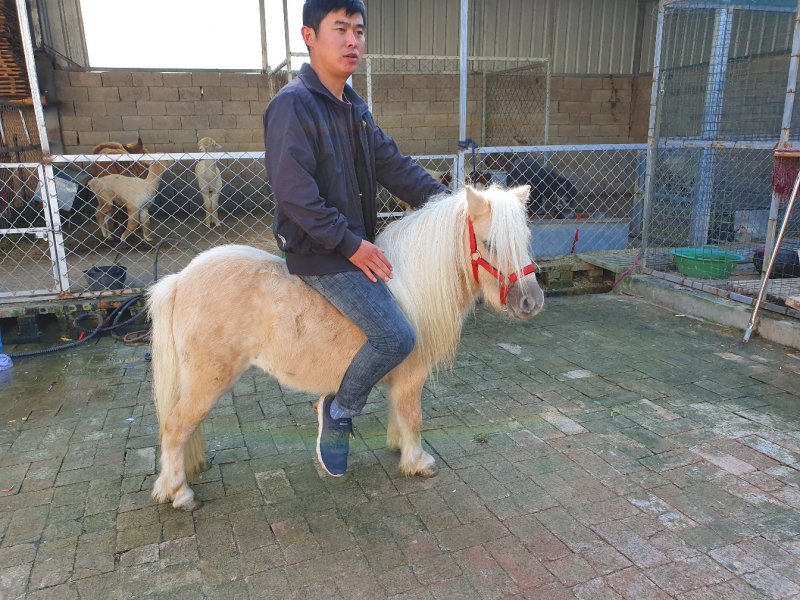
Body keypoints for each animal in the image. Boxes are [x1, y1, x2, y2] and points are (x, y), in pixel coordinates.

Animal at [147, 184, 544, 511]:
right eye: (491, 244)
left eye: (526, 238)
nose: (531, 302)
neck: (409, 289)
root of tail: (179, 279)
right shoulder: (411, 378)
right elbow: (413, 417)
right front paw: (417, 461)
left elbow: (399, 415)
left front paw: (398, 447)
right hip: (207, 382)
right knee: (175, 428)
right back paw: (179, 493)